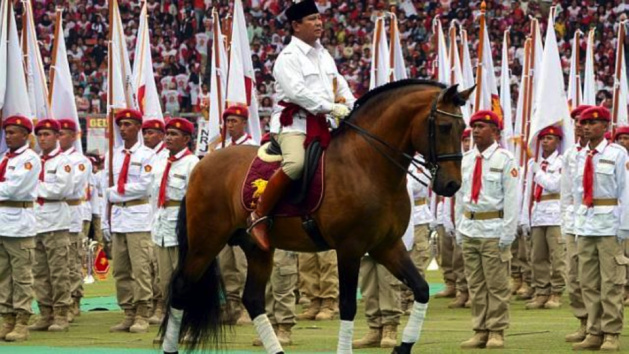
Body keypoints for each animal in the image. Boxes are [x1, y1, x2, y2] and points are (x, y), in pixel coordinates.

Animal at [157, 79, 472, 352]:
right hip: (205, 242)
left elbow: (421, 289)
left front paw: (402, 347)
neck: (368, 164)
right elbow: (348, 306)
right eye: (445, 126)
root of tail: (201, 163)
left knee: (253, 299)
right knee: (181, 288)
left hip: (257, 248)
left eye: (463, 127)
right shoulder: (350, 248)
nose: (451, 185)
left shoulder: (387, 246)